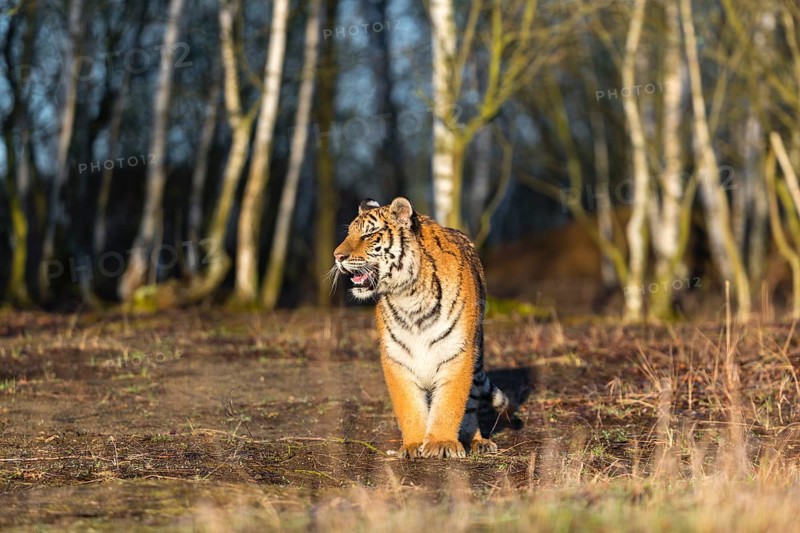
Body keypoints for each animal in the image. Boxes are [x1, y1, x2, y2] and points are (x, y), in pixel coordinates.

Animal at [333, 197, 513, 458]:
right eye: (349, 234)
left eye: (369, 235)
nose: (337, 256)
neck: (408, 295)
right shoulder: (397, 356)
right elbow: (409, 405)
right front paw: (414, 444)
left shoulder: (457, 351)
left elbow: (450, 403)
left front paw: (442, 443)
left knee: (471, 403)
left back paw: (478, 441)